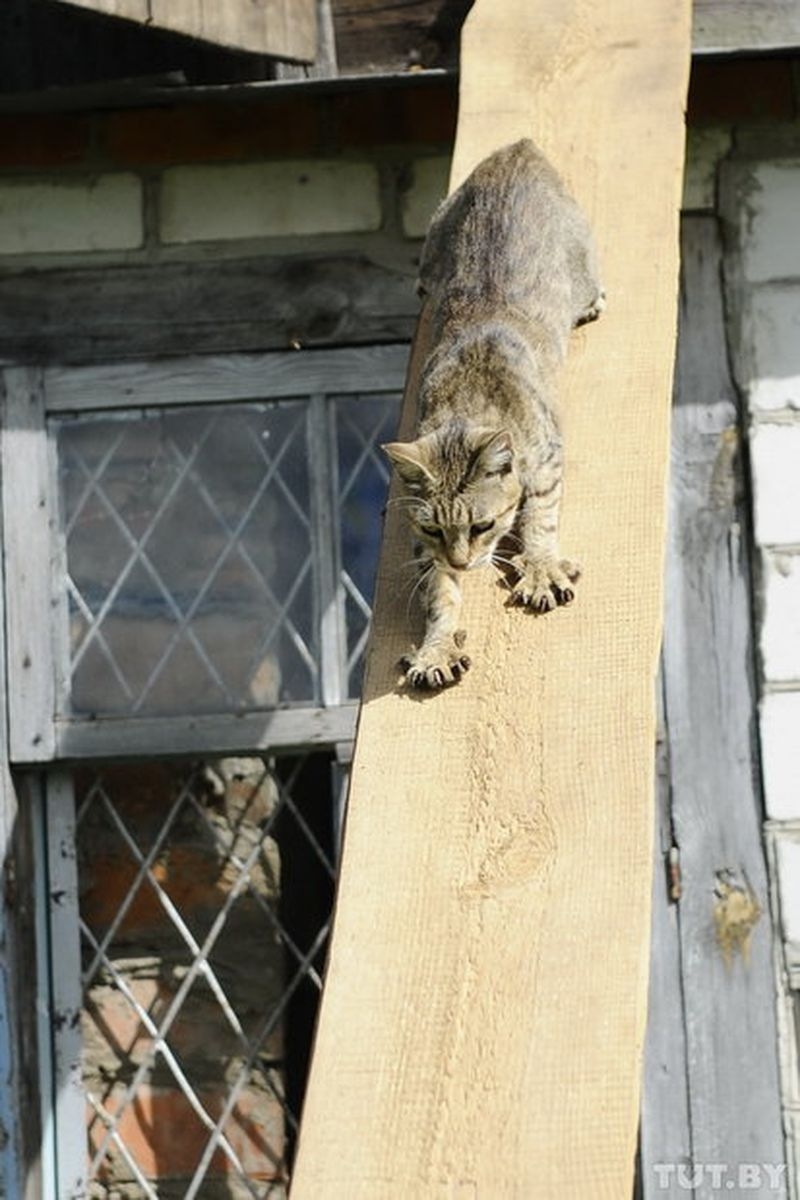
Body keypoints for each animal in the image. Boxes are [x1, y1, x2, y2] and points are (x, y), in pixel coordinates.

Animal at [383, 136, 604, 691]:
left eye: (483, 525)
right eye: (435, 530)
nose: (463, 562)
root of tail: (519, 149)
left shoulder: (547, 457)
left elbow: (542, 515)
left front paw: (541, 567)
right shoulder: (425, 549)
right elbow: (438, 594)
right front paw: (437, 648)